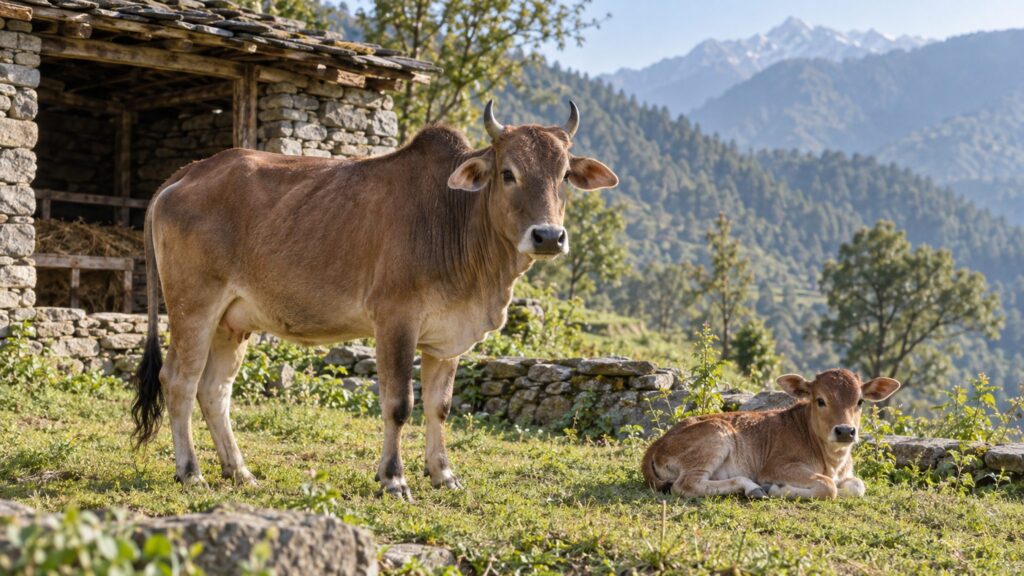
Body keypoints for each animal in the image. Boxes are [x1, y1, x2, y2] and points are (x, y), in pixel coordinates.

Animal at [130, 101, 619, 500]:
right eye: (508, 173)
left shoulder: (446, 339)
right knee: (179, 381)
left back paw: (240, 471)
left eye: (564, 177)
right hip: (194, 306)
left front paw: (443, 474)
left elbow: (440, 407)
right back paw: (191, 472)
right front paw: (393, 478)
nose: (549, 236)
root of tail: (188, 173)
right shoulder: (395, 322)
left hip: (232, 321)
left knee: (215, 390)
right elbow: (399, 404)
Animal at [641, 369, 900, 499]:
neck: (833, 462)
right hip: (716, 435)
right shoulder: (776, 467)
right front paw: (778, 489)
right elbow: (829, 487)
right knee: (685, 485)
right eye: (820, 400)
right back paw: (755, 488)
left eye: (860, 401)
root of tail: (657, 443)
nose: (845, 430)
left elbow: (857, 486)